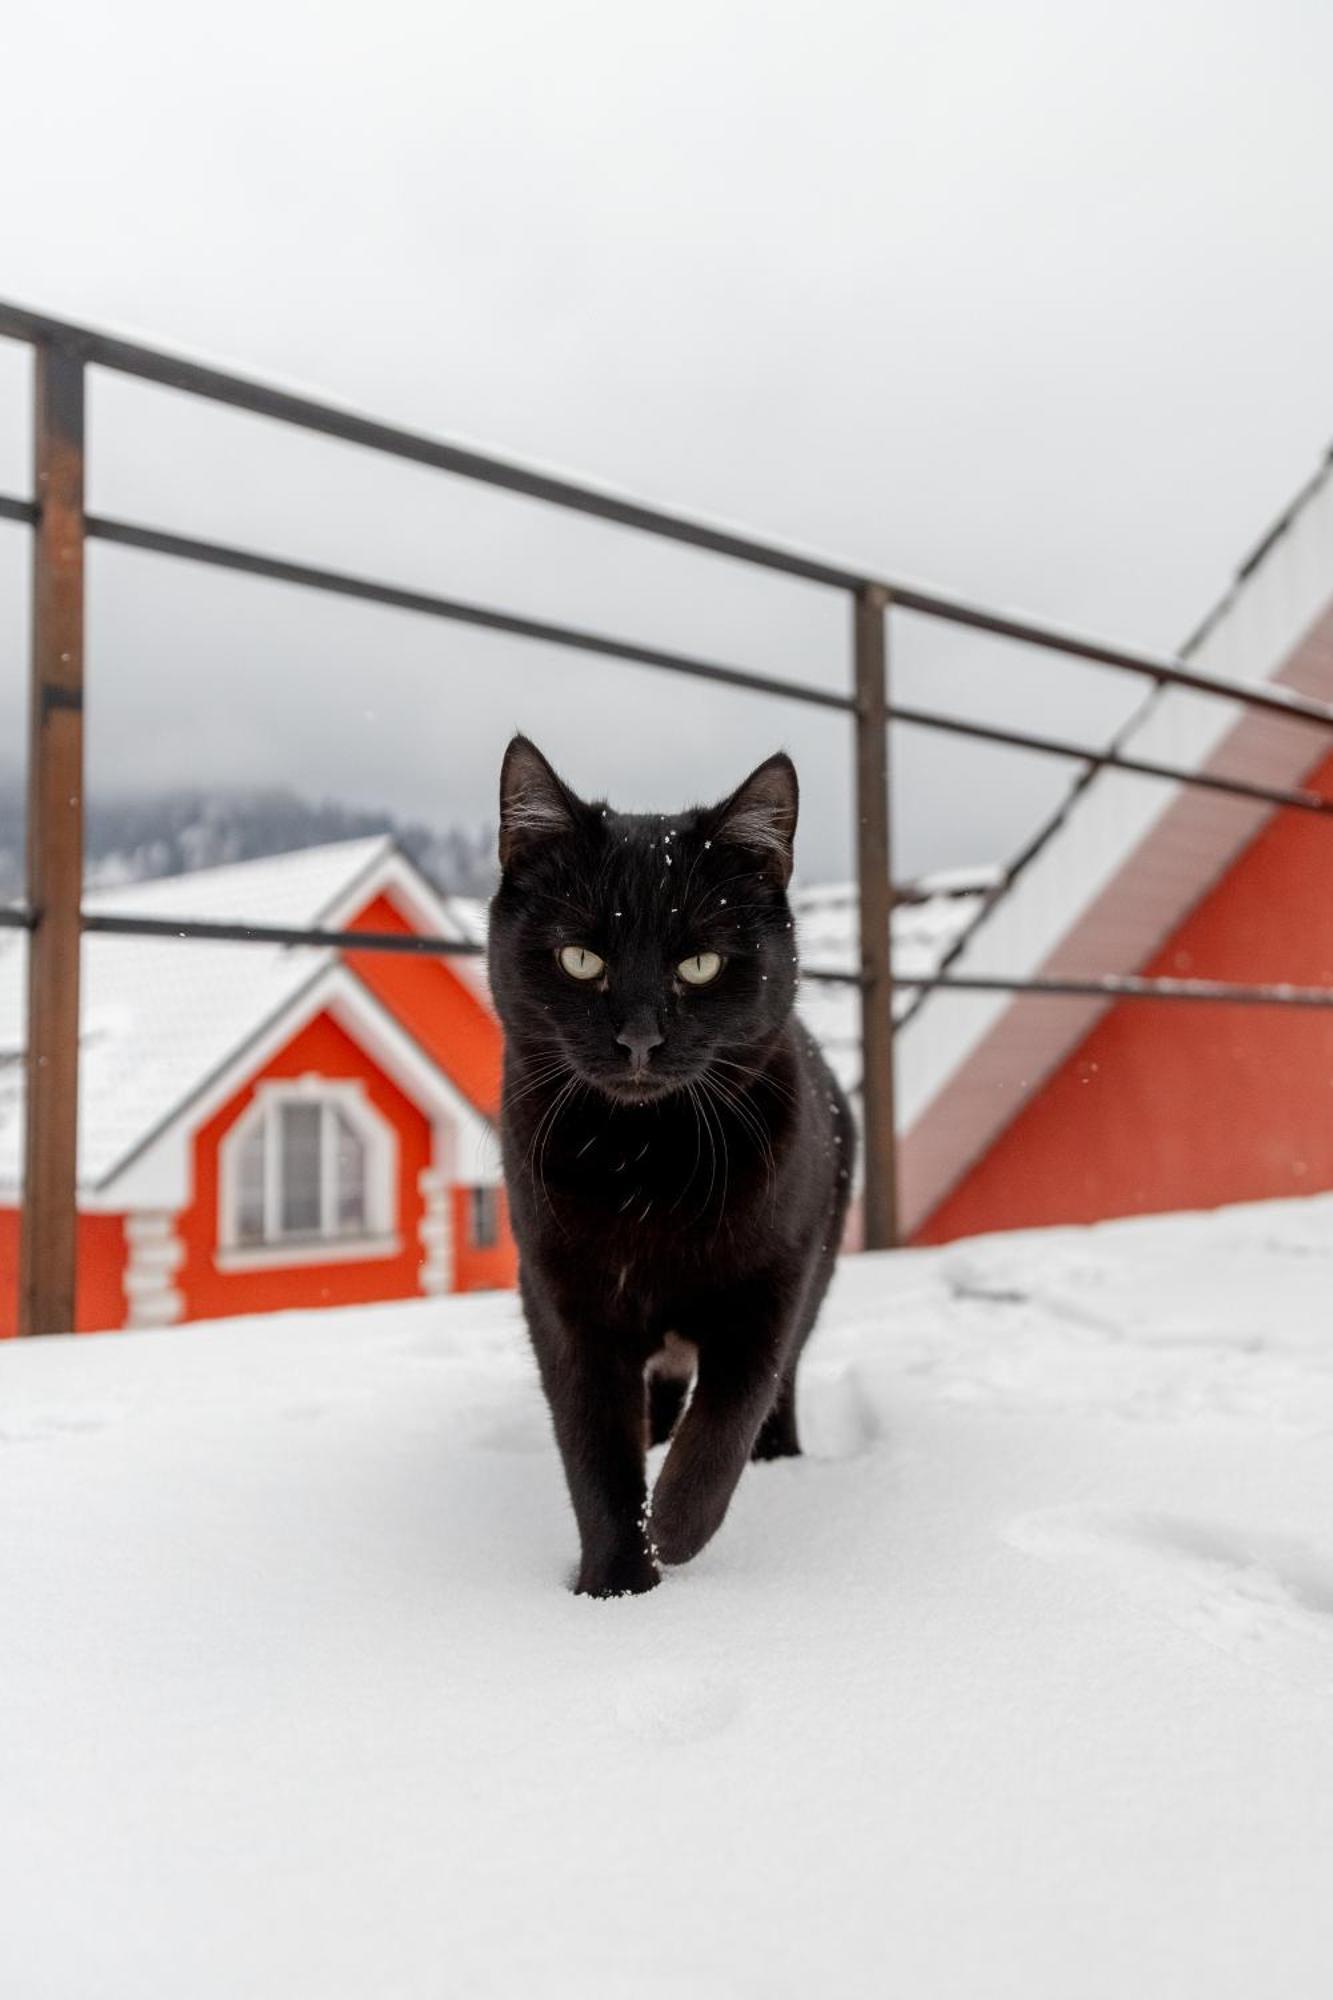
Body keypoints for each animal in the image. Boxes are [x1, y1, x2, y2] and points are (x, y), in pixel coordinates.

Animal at [488, 736, 852, 1592]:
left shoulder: (770, 1286)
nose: (639, 1038)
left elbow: (725, 1418)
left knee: (777, 1384)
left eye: (699, 965)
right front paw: (615, 1583)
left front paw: (677, 1529)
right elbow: (593, 1452)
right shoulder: (565, 1303)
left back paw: (775, 1458)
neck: (643, 1164)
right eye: (580, 958)